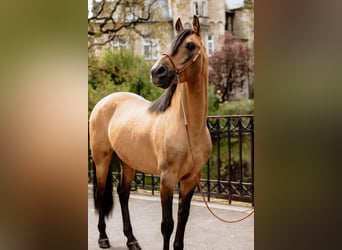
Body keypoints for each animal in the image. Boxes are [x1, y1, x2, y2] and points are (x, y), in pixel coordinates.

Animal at [88, 16, 211, 250]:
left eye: (190, 46)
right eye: (171, 43)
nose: (156, 72)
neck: (189, 128)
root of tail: (103, 102)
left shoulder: (191, 179)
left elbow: (183, 217)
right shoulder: (167, 179)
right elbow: (167, 224)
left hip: (127, 162)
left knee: (123, 193)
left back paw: (131, 240)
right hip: (102, 159)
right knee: (100, 193)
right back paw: (103, 238)